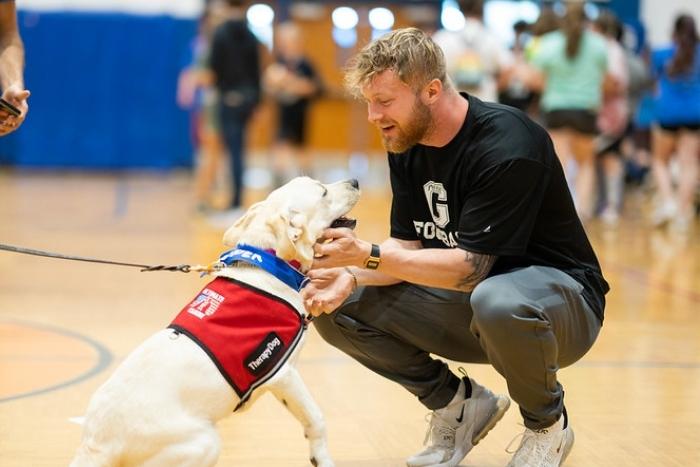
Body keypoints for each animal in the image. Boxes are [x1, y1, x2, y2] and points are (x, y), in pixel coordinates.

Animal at [71, 177, 360, 466]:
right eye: (323, 191)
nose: (355, 181)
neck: (270, 265)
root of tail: (94, 446)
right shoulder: (284, 374)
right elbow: (317, 419)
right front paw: (322, 458)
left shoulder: (281, 383)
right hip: (206, 442)